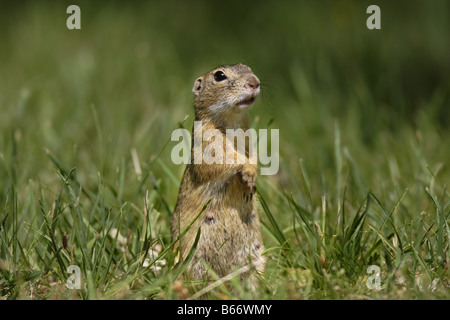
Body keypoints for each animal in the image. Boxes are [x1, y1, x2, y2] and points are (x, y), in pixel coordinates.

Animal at [171, 63, 264, 282]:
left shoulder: (249, 138)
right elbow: (226, 159)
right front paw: (247, 173)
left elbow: (254, 156)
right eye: (219, 76)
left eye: (247, 67)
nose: (254, 82)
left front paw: (252, 180)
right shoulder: (209, 140)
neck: (232, 122)